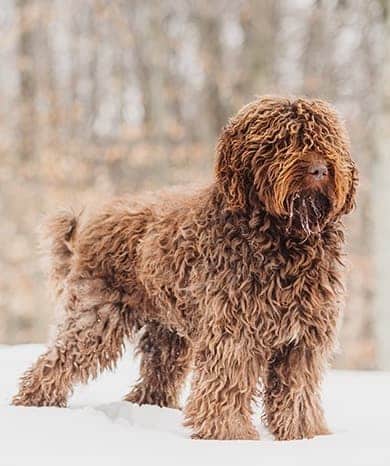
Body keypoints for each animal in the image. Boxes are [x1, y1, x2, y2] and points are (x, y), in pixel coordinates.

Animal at [13, 95, 358, 440]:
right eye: (282, 141)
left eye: (326, 139)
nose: (320, 169)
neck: (284, 239)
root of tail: (94, 223)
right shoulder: (233, 331)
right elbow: (228, 383)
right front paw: (229, 435)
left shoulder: (304, 340)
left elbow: (297, 391)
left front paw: (304, 434)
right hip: (97, 316)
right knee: (57, 361)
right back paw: (32, 405)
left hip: (165, 331)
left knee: (156, 377)